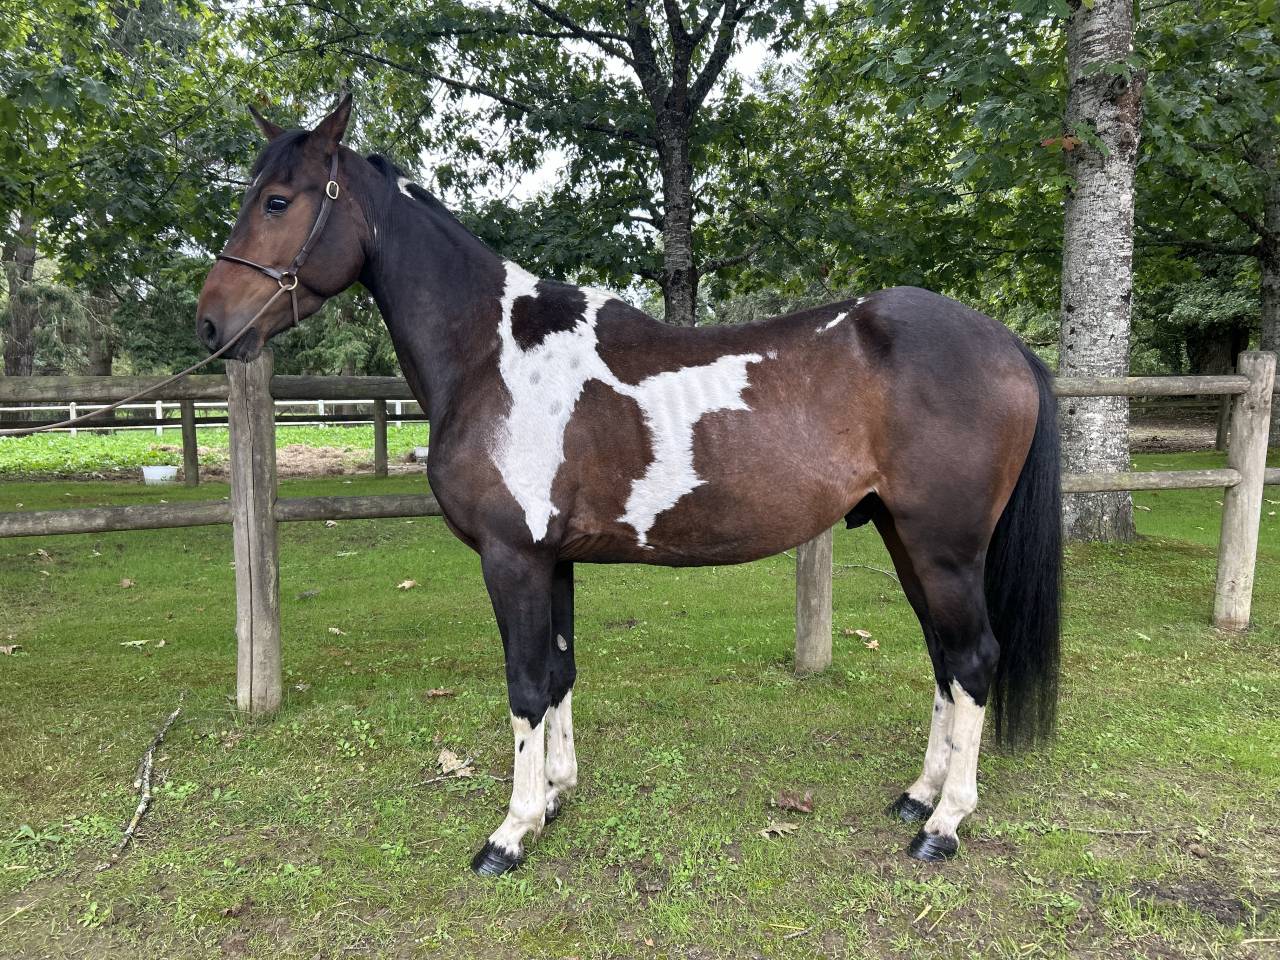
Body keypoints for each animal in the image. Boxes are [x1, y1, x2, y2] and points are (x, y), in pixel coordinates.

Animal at [196, 94, 1062, 875]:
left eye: (278, 201)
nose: (209, 324)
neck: (493, 356)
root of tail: (1006, 343)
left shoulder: (512, 558)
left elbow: (525, 684)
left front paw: (511, 833)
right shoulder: (553, 560)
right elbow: (559, 673)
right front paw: (555, 796)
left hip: (944, 547)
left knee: (974, 659)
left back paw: (944, 825)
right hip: (904, 537)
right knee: (945, 659)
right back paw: (919, 795)